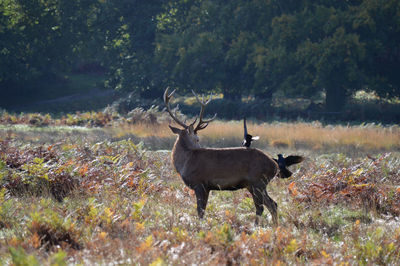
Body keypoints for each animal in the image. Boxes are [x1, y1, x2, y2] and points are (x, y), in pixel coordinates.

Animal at [164, 87, 290, 224]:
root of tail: (274, 166)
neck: (185, 163)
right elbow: (202, 210)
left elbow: (200, 211)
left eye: (198, 139)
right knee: (273, 204)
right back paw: (275, 226)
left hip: (257, 181)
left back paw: (257, 226)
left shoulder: (200, 183)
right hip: (255, 185)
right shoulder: (207, 187)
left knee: (260, 207)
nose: (199, 146)